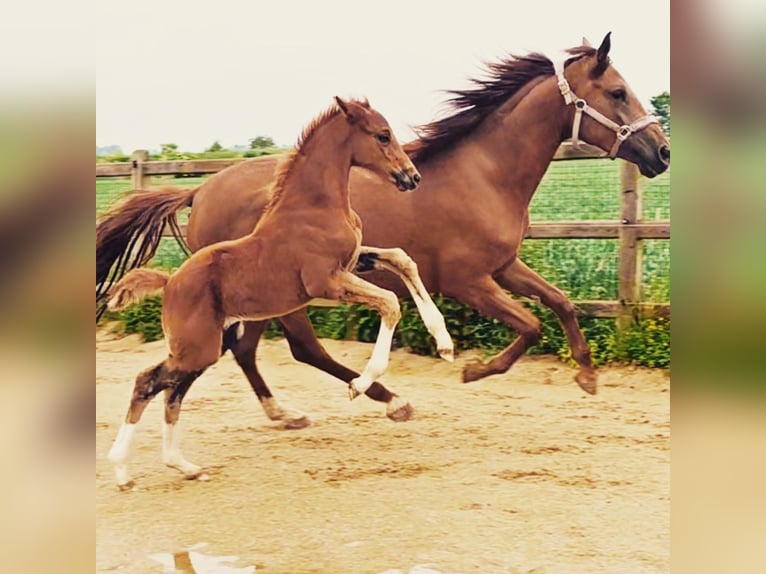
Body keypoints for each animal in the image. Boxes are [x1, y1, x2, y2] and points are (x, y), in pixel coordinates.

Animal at [99, 32, 668, 428]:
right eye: (618, 92)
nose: (661, 153)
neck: (485, 173)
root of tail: (200, 190)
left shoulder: (505, 266)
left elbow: (562, 303)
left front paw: (587, 375)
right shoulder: (468, 281)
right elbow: (529, 325)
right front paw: (471, 369)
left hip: (265, 297)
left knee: (251, 350)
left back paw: (293, 412)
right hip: (280, 294)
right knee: (295, 349)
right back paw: (383, 400)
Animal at [103, 99, 456, 490]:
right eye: (382, 135)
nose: (412, 177)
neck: (315, 206)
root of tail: (170, 281)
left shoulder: (353, 262)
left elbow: (402, 259)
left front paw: (445, 344)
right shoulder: (326, 281)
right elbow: (391, 302)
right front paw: (360, 384)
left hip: (201, 348)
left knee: (172, 391)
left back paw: (182, 465)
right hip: (197, 348)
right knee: (149, 382)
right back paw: (123, 470)